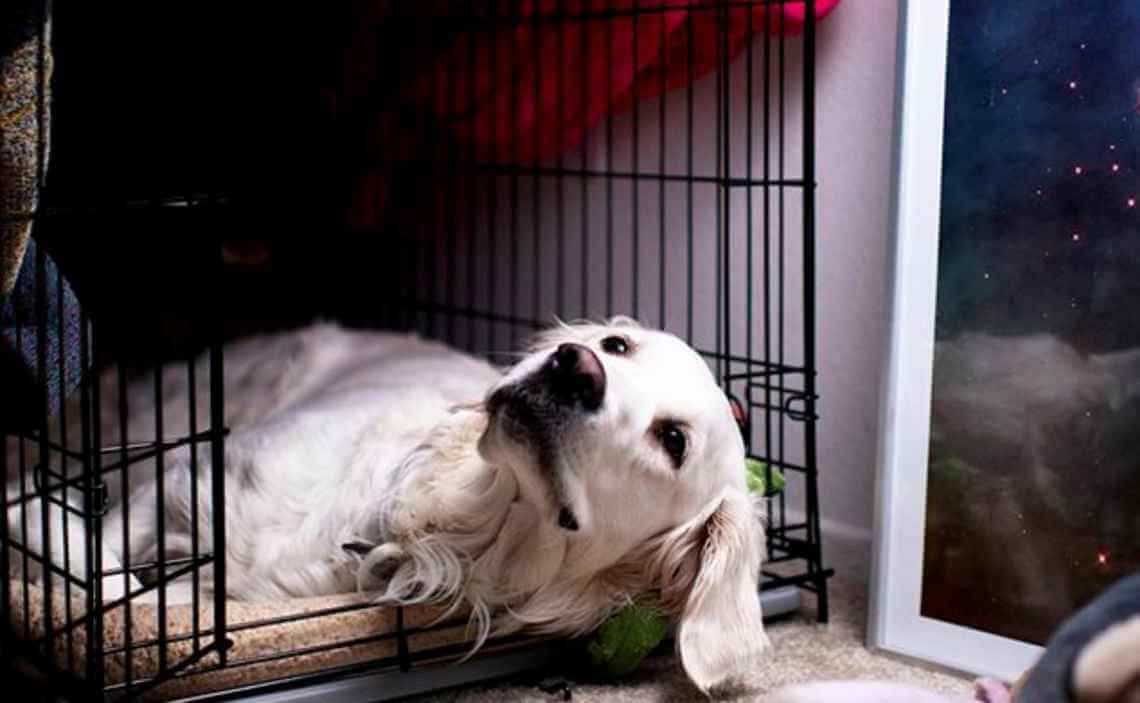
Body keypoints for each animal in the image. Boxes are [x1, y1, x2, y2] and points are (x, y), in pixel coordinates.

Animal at [8, 319, 770, 692]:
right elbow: (108, 562)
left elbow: (127, 593)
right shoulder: (185, 470)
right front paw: (36, 514)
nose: (575, 365)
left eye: (673, 440)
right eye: (617, 345)